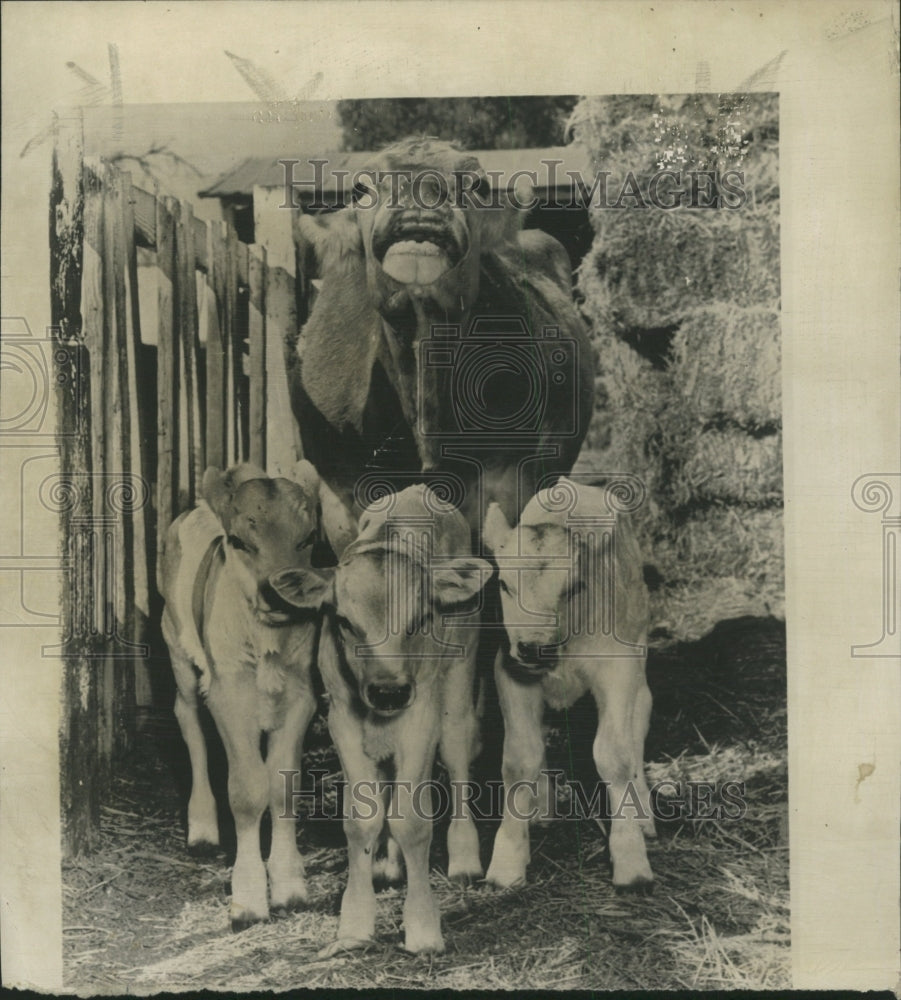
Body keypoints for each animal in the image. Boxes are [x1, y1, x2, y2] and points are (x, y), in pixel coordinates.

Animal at [159, 460, 348, 928]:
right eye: (240, 541)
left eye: (308, 539)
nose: (277, 593)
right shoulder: (228, 691)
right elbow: (246, 790)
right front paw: (247, 899)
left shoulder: (301, 693)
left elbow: (283, 786)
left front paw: (290, 886)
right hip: (176, 648)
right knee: (189, 721)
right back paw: (202, 827)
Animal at [268, 484, 492, 952]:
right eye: (343, 621)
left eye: (421, 619)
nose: (389, 690)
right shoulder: (342, 716)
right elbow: (362, 817)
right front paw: (355, 922)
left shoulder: (421, 714)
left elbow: (413, 819)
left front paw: (423, 926)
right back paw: (388, 864)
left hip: (460, 668)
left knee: (459, 751)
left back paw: (464, 855)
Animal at [478, 478, 652, 892]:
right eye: (504, 585)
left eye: (574, 587)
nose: (534, 647)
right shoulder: (510, 670)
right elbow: (518, 758)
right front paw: (507, 860)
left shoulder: (618, 668)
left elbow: (614, 756)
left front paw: (630, 859)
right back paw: (540, 808)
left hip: (639, 653)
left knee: (639, 722)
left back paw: (644, 814)